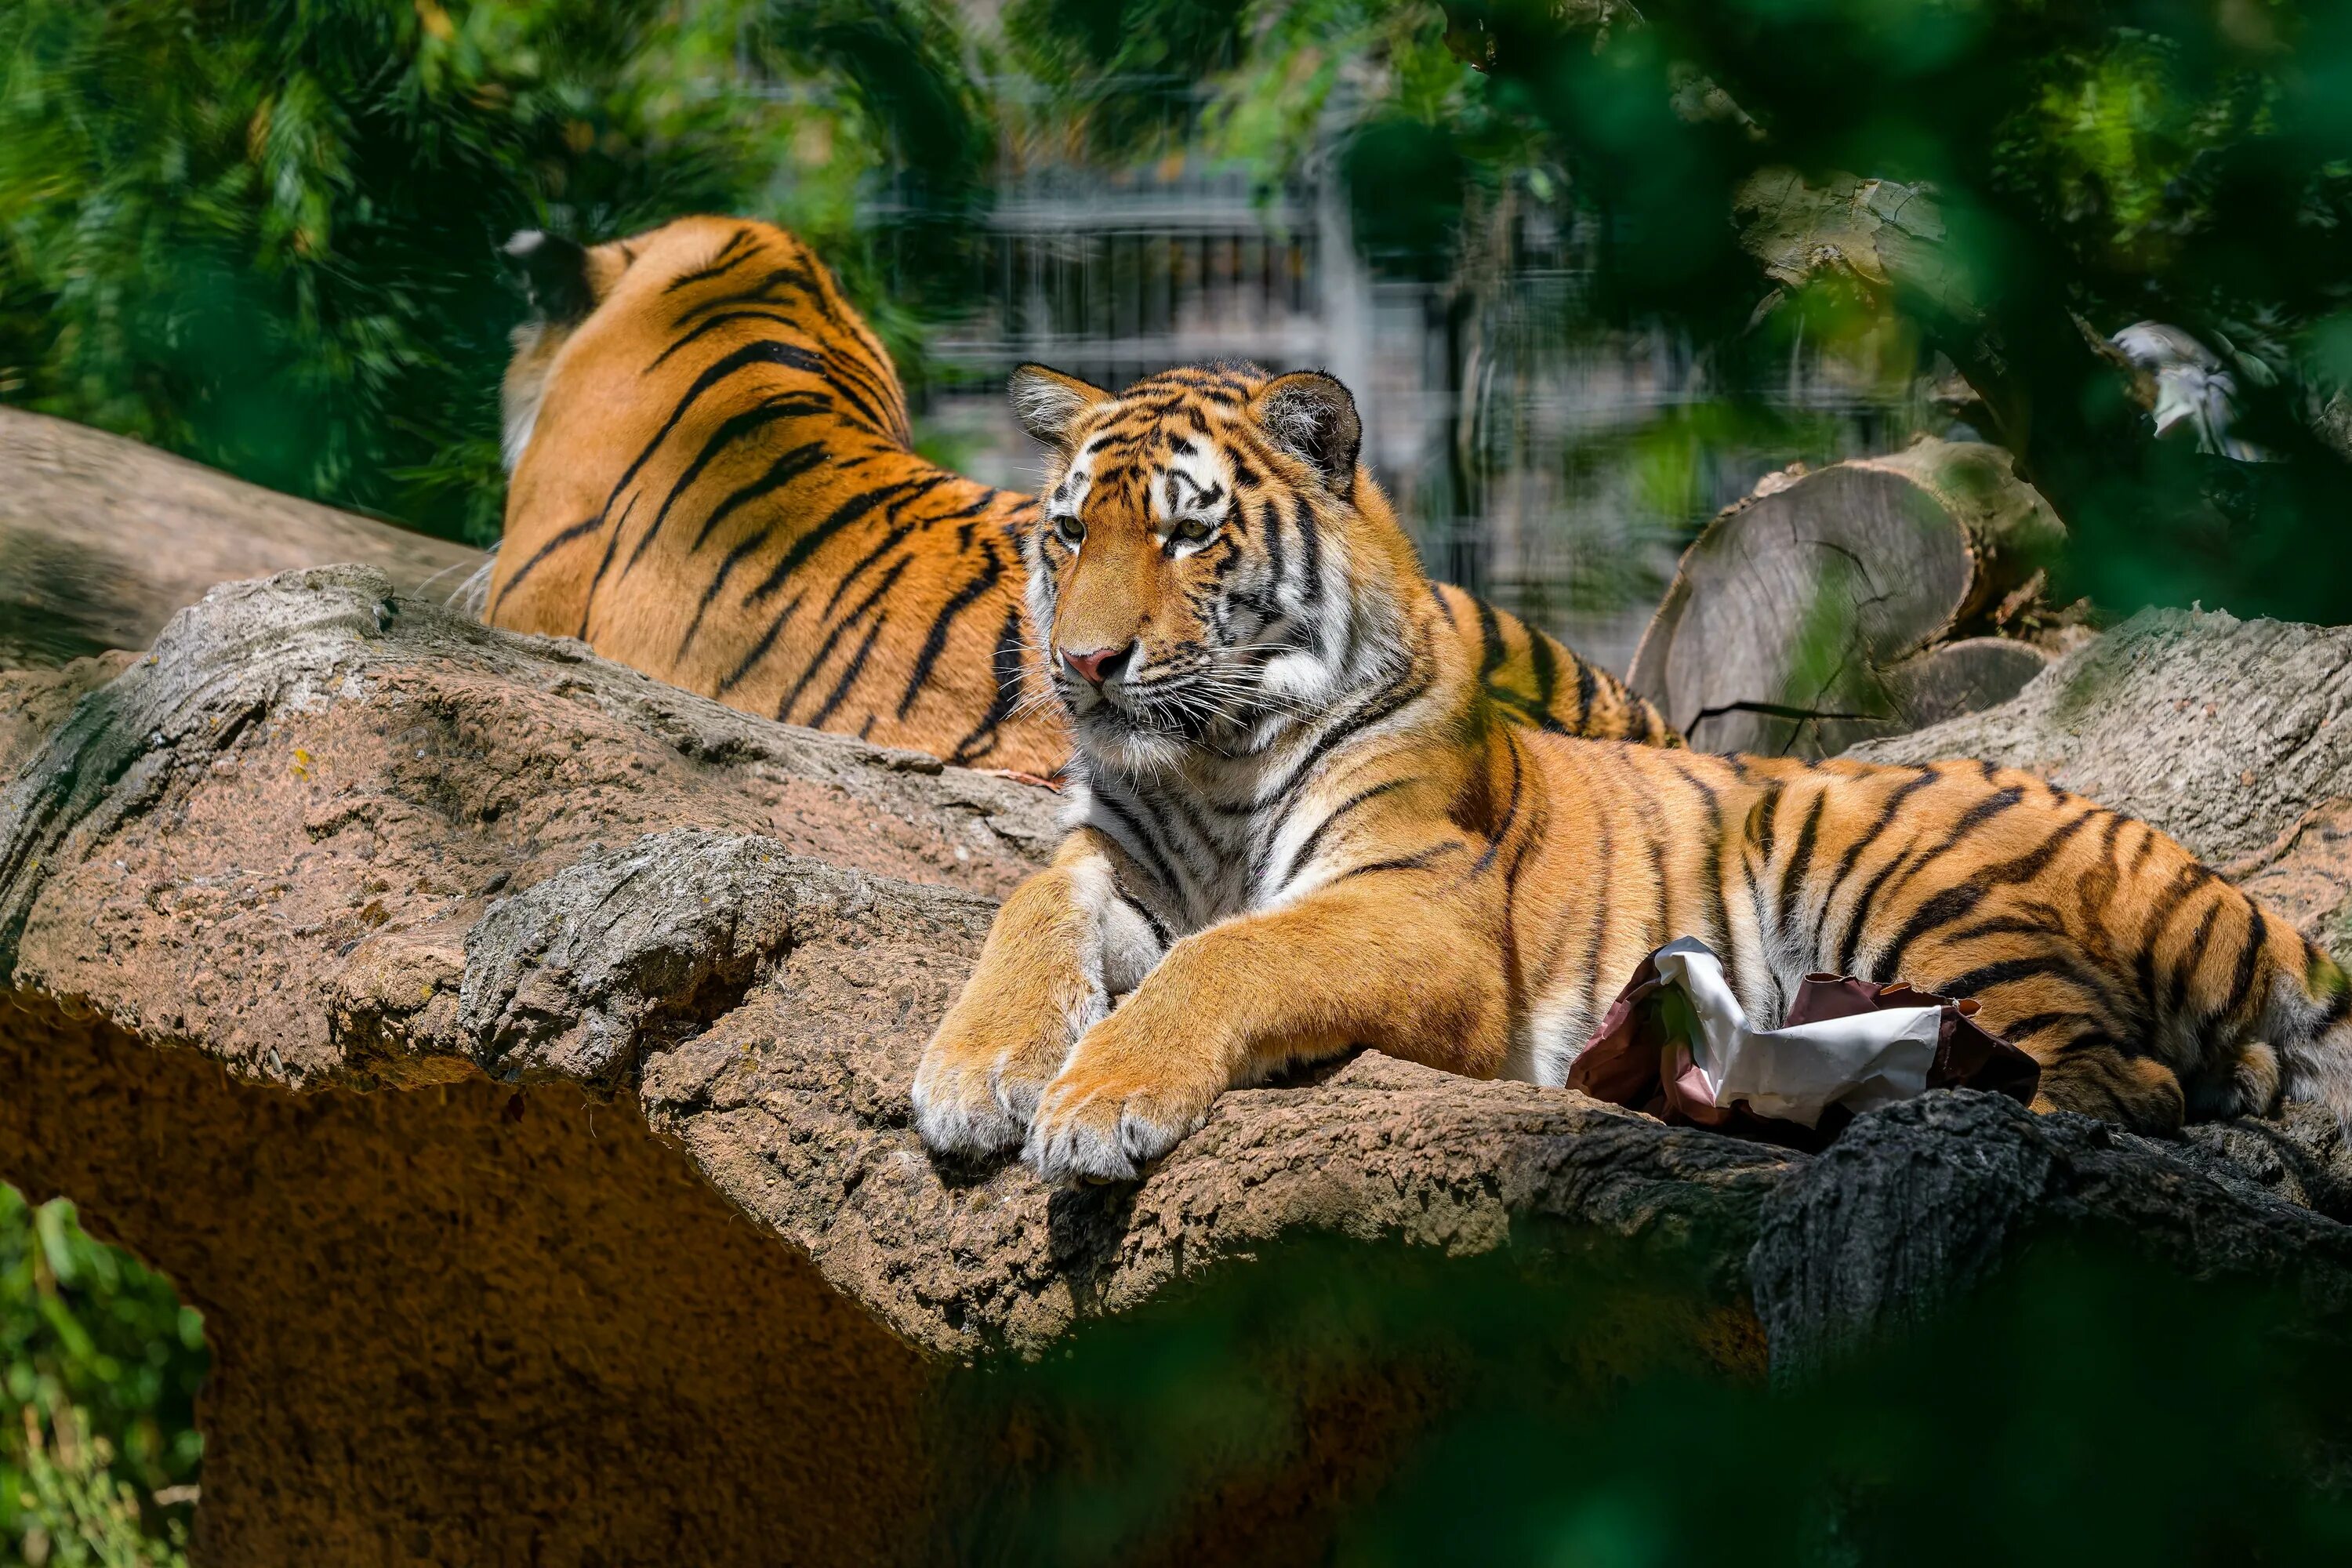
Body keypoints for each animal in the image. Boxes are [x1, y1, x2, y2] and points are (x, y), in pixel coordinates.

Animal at [913, 361, 2352, 1185]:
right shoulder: (1110, 859)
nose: (1085, 665)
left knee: (2113, 1084)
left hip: (1904, 882)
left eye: (1186, 537)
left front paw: (1098, 1102)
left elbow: (1236, 951)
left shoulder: (1420, 912)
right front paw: (975, 1076)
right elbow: (1025, 911)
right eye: (1067, 534)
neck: (1208, 766)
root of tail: (2162, 848)